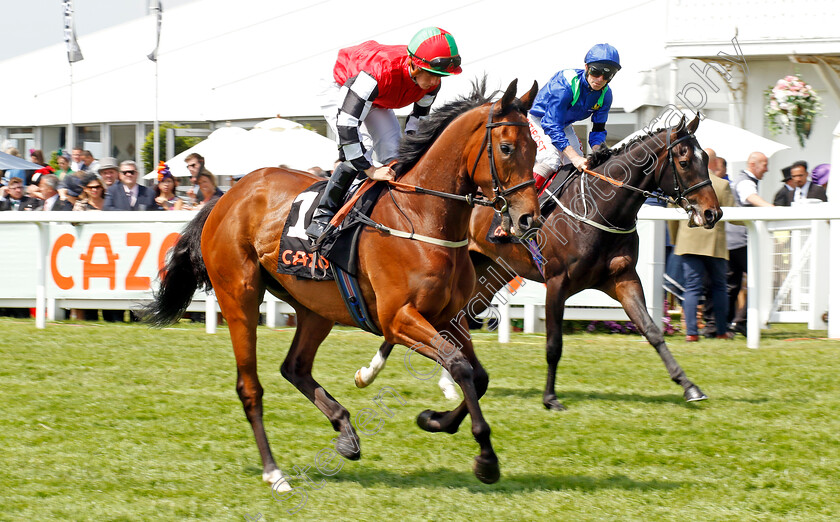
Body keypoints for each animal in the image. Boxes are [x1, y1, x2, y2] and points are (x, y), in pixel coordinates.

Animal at [140, 79, 540, 486]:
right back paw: (275, 472)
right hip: (240, 296)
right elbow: (459, 366)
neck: (423, 217)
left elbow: (479, 375)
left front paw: (435, 421)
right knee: (249, 386)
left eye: (536, 147)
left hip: (316, 307)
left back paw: (345, 432)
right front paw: (485, 458)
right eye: (507, 148)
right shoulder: (398, 319)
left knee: (295, 367)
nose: (528, 219)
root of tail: (225, 197)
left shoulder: (449, 318)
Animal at [354, 115, 720, 410]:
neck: (601, 208)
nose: (712, 213)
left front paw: (689, 386)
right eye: (684, 161)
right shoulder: (557, 282)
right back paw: (370, 373)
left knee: (450, 320)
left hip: (485, 275)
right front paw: (550, 397)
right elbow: (554, 345)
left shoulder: (624, 278)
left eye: (707, 158)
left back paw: (434, 381)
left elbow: (652, 331)